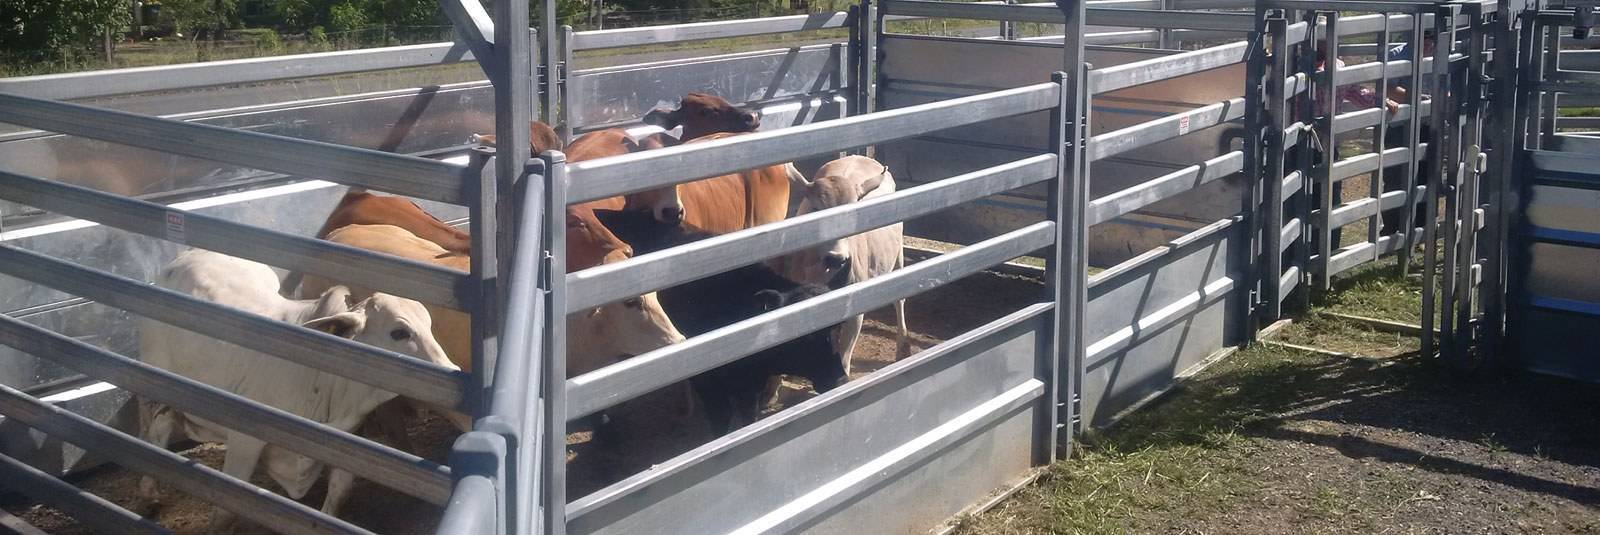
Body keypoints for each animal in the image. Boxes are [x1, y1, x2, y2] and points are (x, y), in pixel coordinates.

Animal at [136, 249, 457, 529]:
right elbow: (225, 511)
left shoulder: (350, 438)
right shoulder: (245, 440)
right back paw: (149, 494)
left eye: (429, 323)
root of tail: (186, 255)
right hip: (155, 383)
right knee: (156, 430)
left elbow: (339, 492)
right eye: (399, 332)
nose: (450, 370)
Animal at [594, 209, 849, 435]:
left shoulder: (750, 385)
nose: (840, 379)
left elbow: (749, 416)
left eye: (837, 327)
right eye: (805, 337)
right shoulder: (708, 384)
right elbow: (722, 419)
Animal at [775, 156, 912, 375]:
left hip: (898, 254)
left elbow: (845, 359)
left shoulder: (854, 312)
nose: (837, 258)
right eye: (815, 209)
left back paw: (903, 347)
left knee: (899, 299)